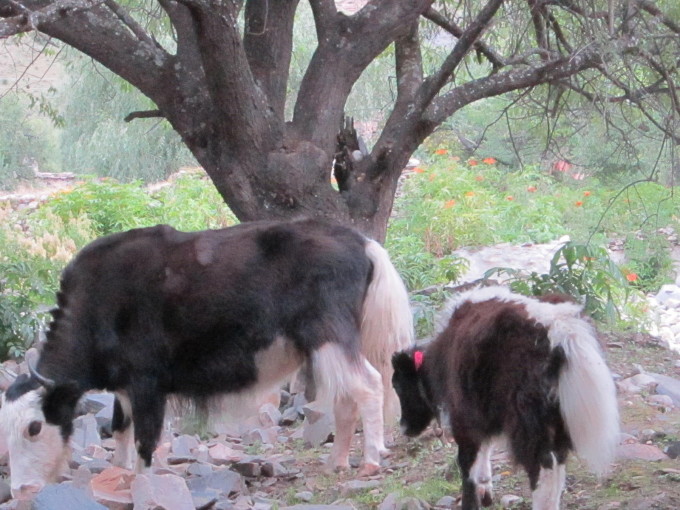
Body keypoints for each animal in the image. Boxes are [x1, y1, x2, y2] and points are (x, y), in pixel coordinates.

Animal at [390, 286, 620, 510]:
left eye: (398, 385)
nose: (404, 428)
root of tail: (560, 330)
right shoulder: (482, 414)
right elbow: (484, 447)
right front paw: (485, 490)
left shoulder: (463, 416)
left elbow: (467, 463)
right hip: (557, 421)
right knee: (557, 466)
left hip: (527, 421)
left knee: (543, 468)